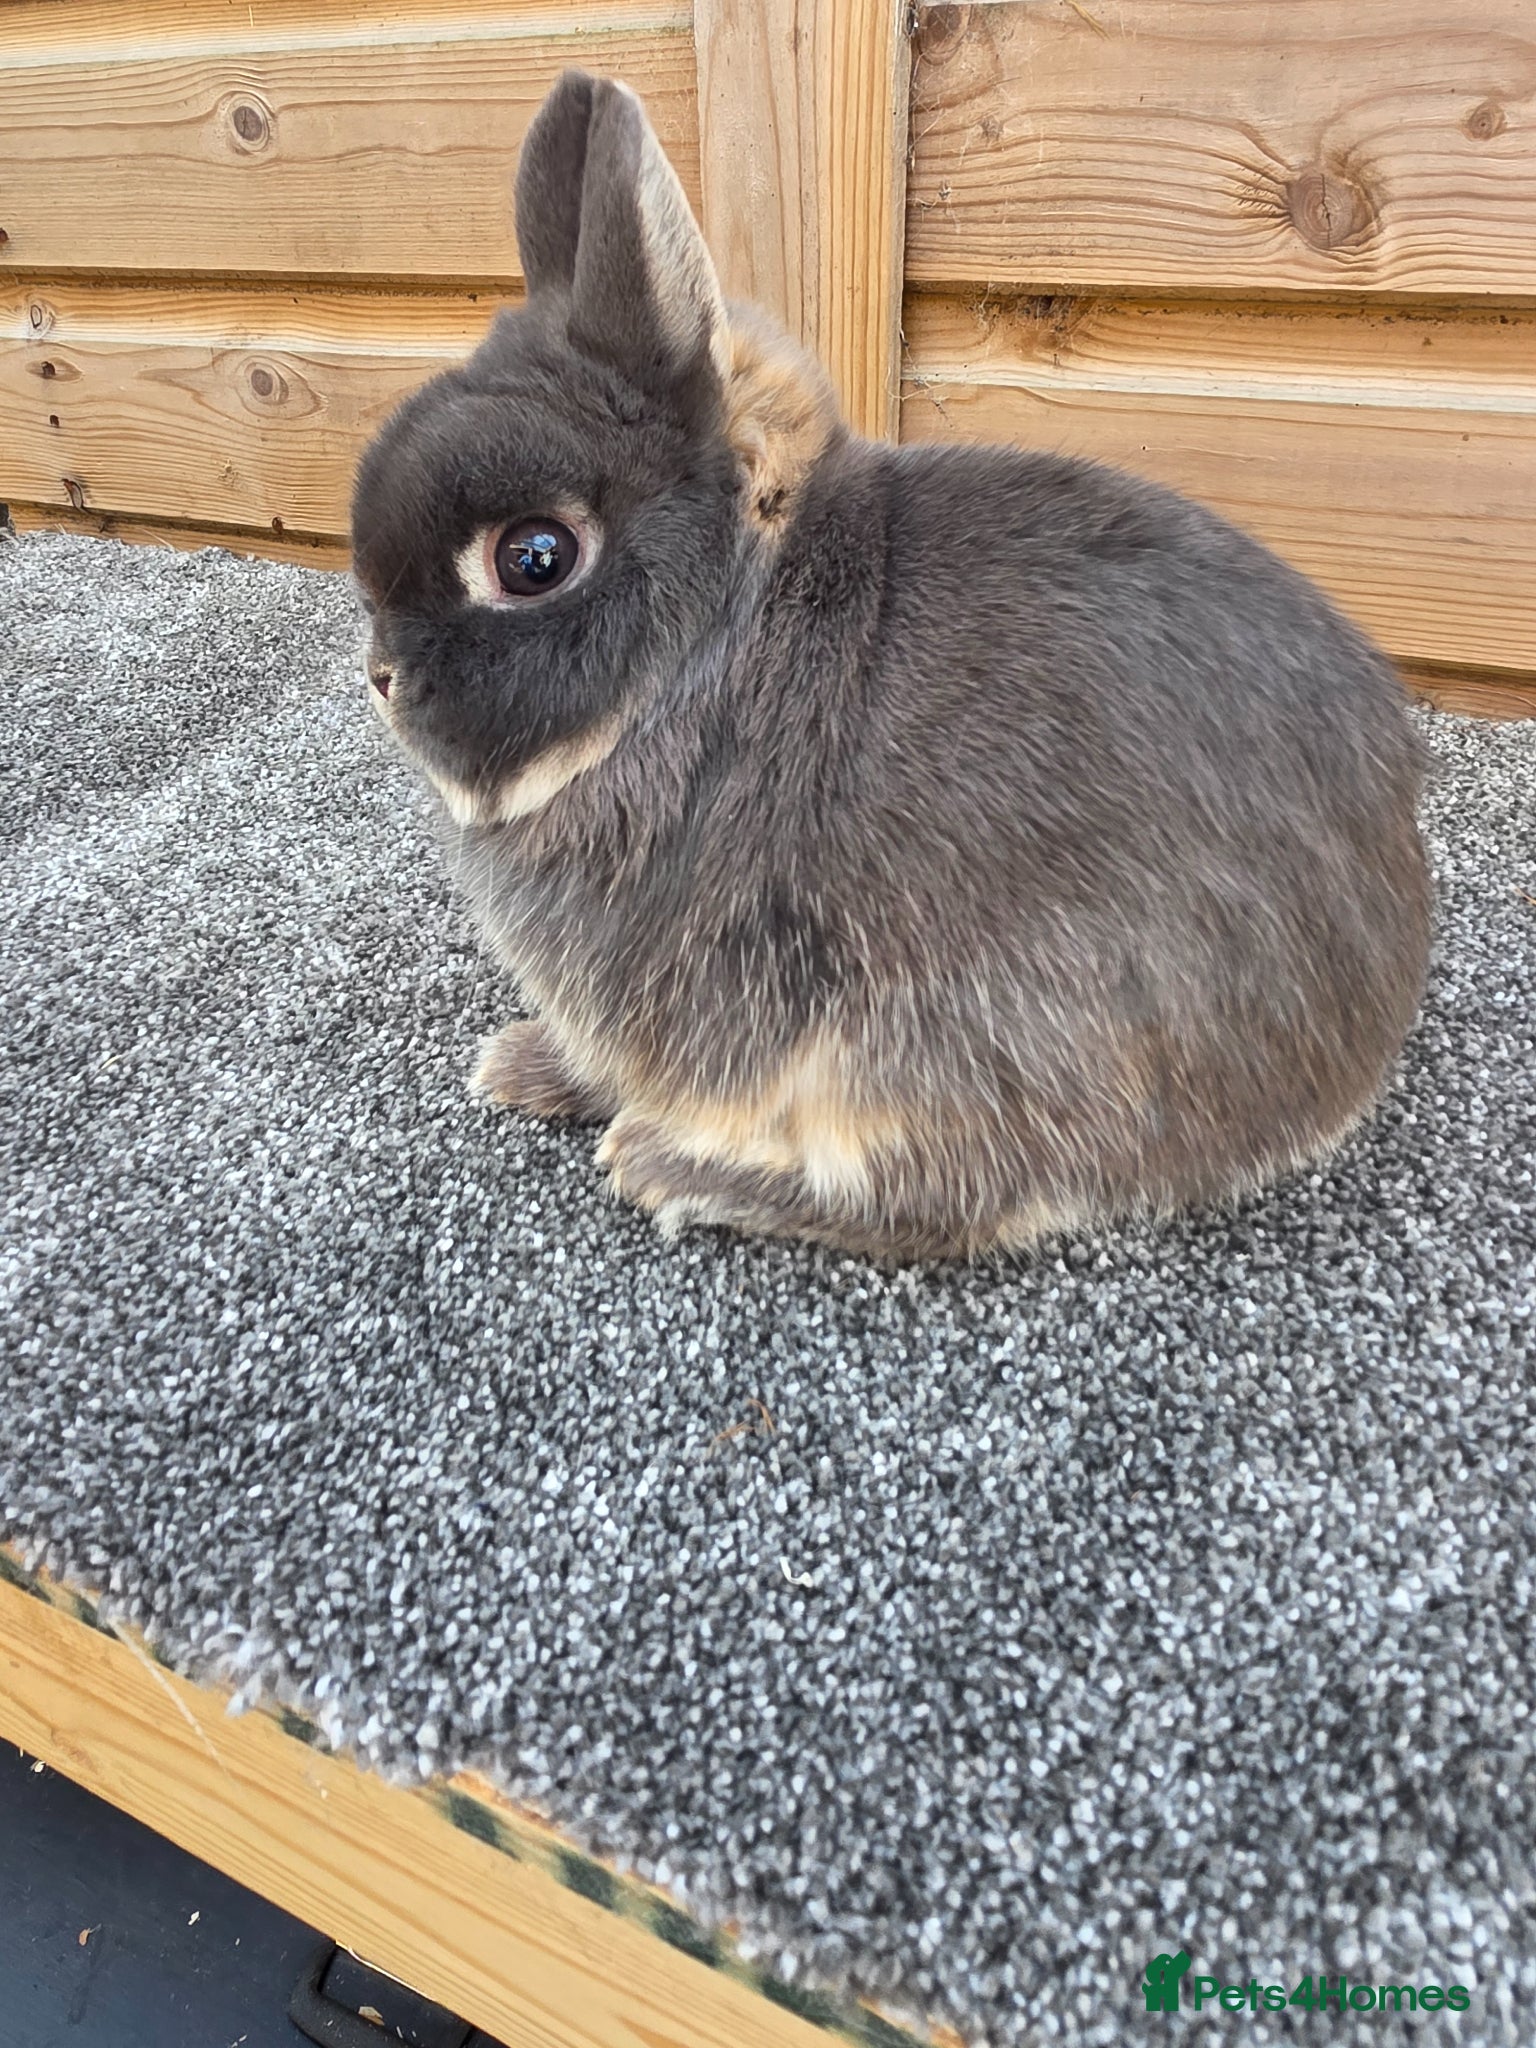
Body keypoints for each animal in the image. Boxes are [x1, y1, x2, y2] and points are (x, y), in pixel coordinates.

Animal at [350, 68, 1432, 1261]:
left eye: (533, 558)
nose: (382, 677)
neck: (717, 645)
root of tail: (1356, 1044)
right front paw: (529, 1064)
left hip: (956, 1035)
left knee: (934, 1199)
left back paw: (664, 1165)